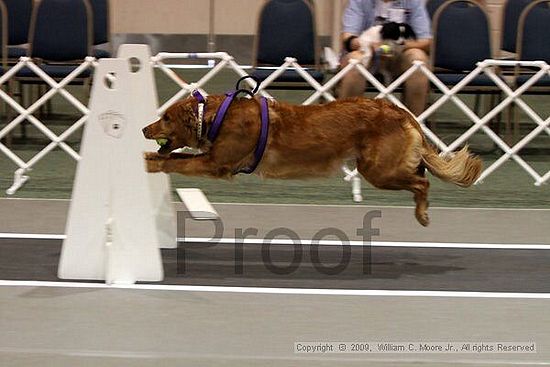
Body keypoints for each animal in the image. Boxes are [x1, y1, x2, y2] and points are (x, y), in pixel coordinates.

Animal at [143, 95, 484, 227]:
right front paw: (153, 155)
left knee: (422, 181)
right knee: (420, 174)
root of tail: (401, 111)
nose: (144, 129)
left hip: (378, 170)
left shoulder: (217, 164)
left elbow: (177, 161)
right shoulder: (214, 158)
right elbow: (176, 155)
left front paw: (151, 161)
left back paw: (423, 214)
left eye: (166, 118)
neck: (216, 116)